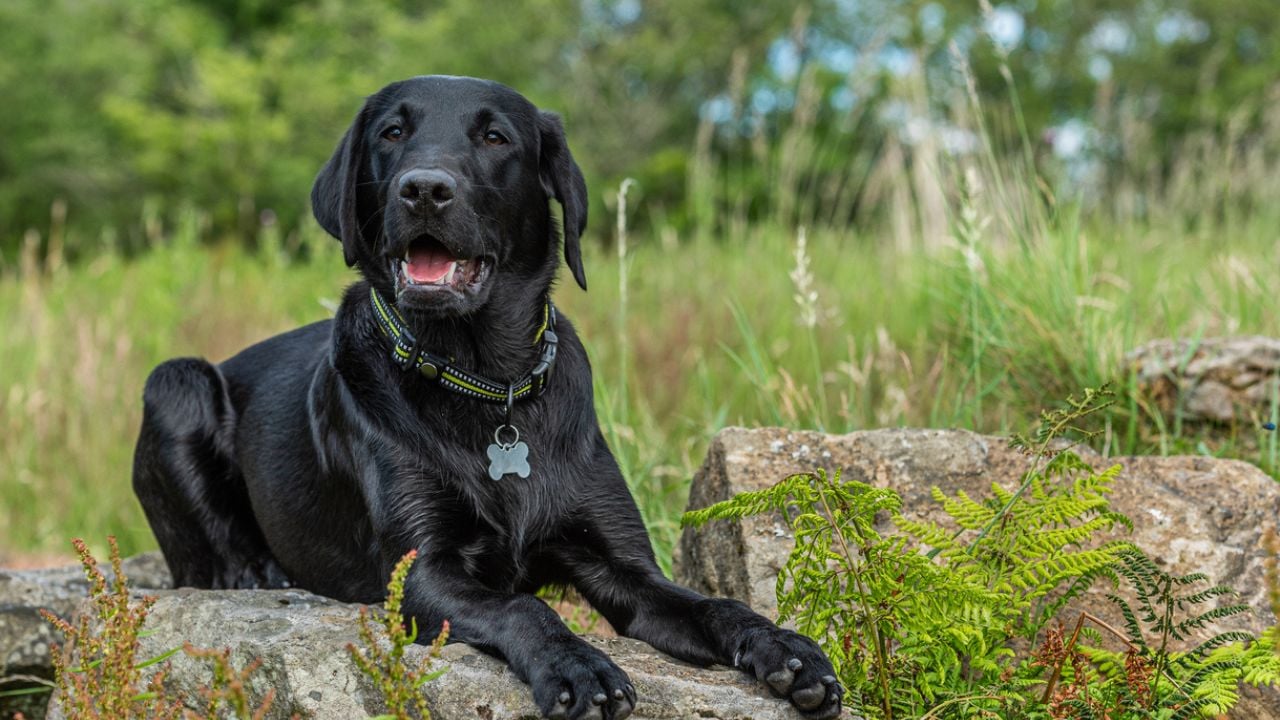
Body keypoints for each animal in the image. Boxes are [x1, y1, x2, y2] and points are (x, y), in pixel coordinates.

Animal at [135, 77, 844, 717]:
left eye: (496, 137)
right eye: (392, 132)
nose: (423, 188)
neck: (485, 382)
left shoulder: (624, 567)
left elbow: (711, 603)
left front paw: (782, 648)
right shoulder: (420, 573)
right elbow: (521, 604)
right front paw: (578, 665)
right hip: (175, 381)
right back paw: (258, 572)